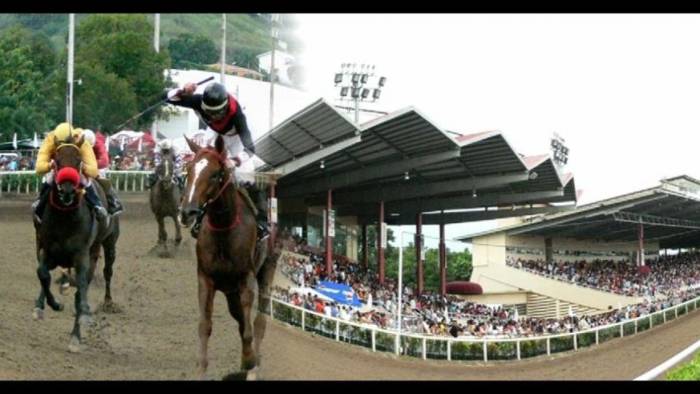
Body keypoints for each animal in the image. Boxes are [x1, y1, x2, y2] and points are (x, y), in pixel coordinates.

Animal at [33, 134, 120, 352]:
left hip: (108, 244)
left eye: (79, 160)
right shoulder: (47, 249)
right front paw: (51, 305)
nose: (67, 190)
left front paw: (77, 334)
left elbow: (80, 291)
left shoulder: (81, 256)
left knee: (105, 273)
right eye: (56, 159)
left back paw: (106, 304)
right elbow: (43, 274)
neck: (65, 218)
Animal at [178, 135, 276, 378]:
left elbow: (249, 329)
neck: (224, 228)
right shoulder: (205, 278)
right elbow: (204, 326)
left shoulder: (245, 278)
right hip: (230, 292)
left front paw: (250, 361)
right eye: (189, 169)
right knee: (241, 320)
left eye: (215, 174)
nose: (187, 212)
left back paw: (253, 367)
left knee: (258, 322)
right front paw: (201, 370)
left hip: (267, 270)